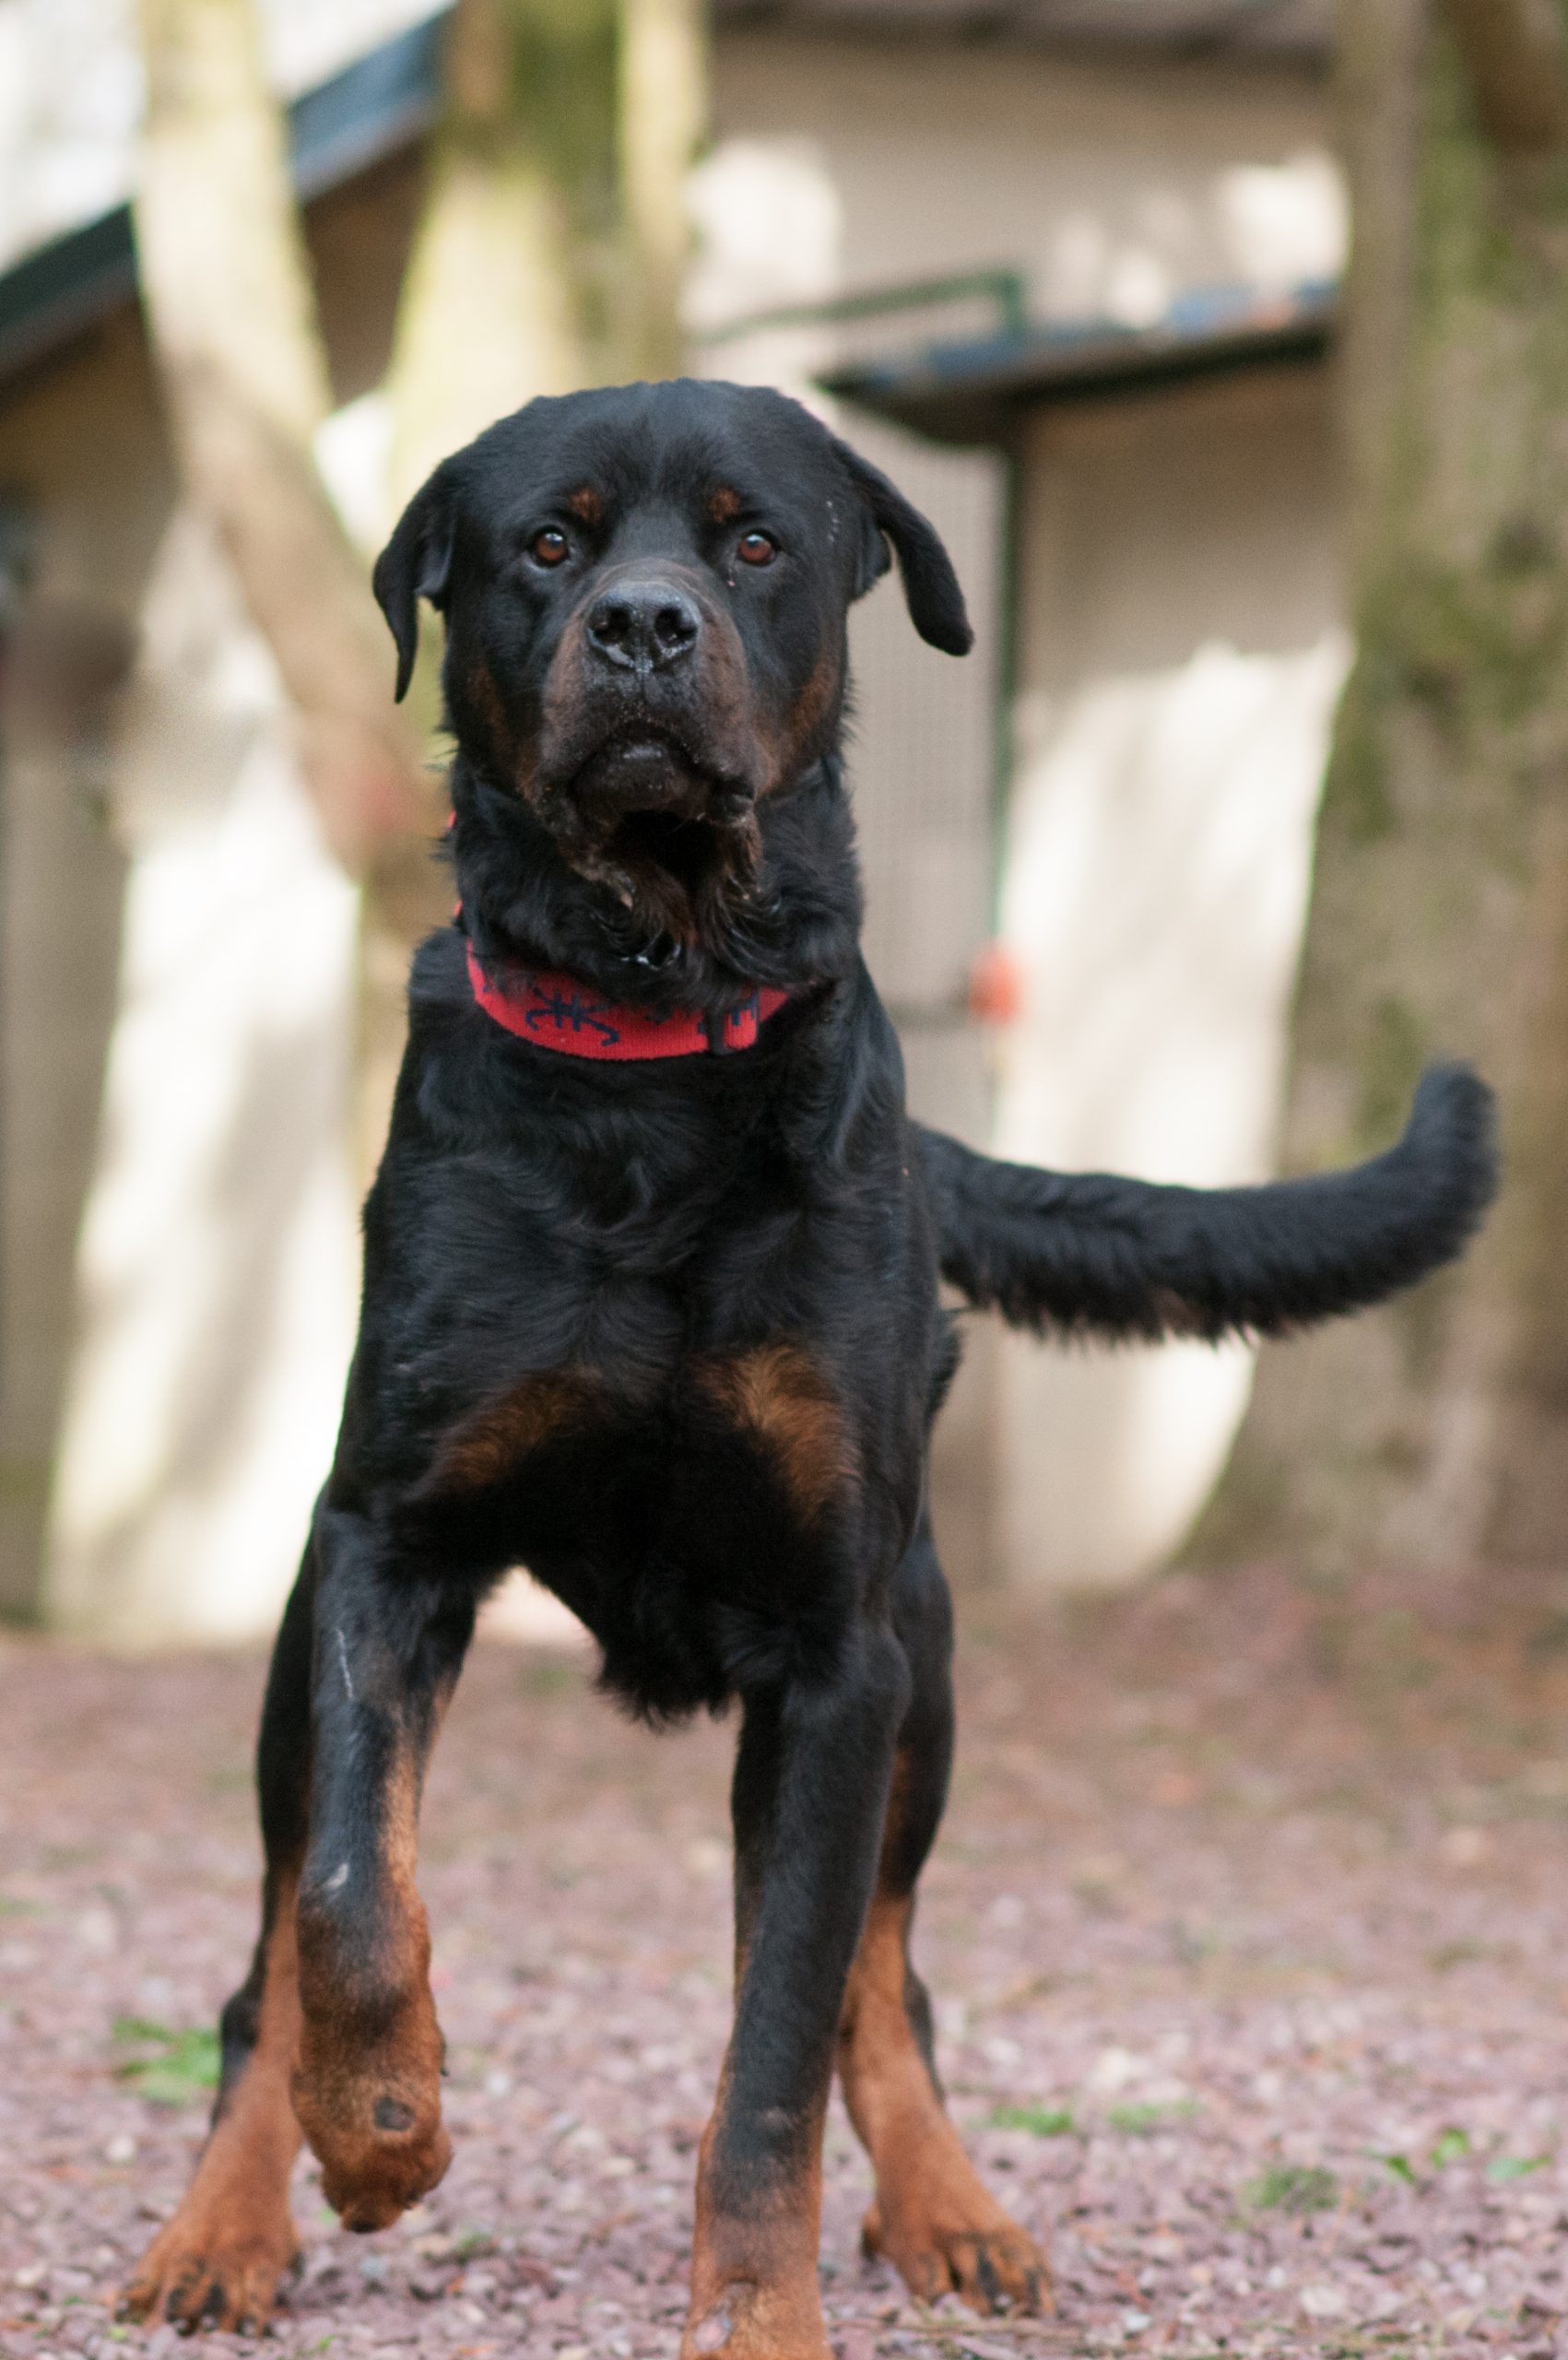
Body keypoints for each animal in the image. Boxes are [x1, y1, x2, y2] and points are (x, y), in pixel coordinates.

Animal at [123, 377, 1492, 2350]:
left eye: (753, 539)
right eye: (550, 542)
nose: (641, 626)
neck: (658, 1035)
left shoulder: (839, 1659)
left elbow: (774, 2048)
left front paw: (756, 2311)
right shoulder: (389, 1546)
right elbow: (352, 1905)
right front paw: (380, 2128)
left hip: (924, 1684)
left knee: (877, 1982)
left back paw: (953, 2207)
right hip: (304, 1666)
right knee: (269, 1958)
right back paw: (225, 2222)